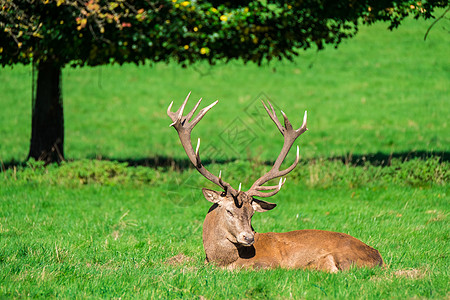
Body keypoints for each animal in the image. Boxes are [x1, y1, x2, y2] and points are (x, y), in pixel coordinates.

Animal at [166, 93, 384, 272]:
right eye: (229, 211)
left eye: (252, 213)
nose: (249, 237)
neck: (219, 259)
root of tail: (379, 258)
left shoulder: (267, 263)